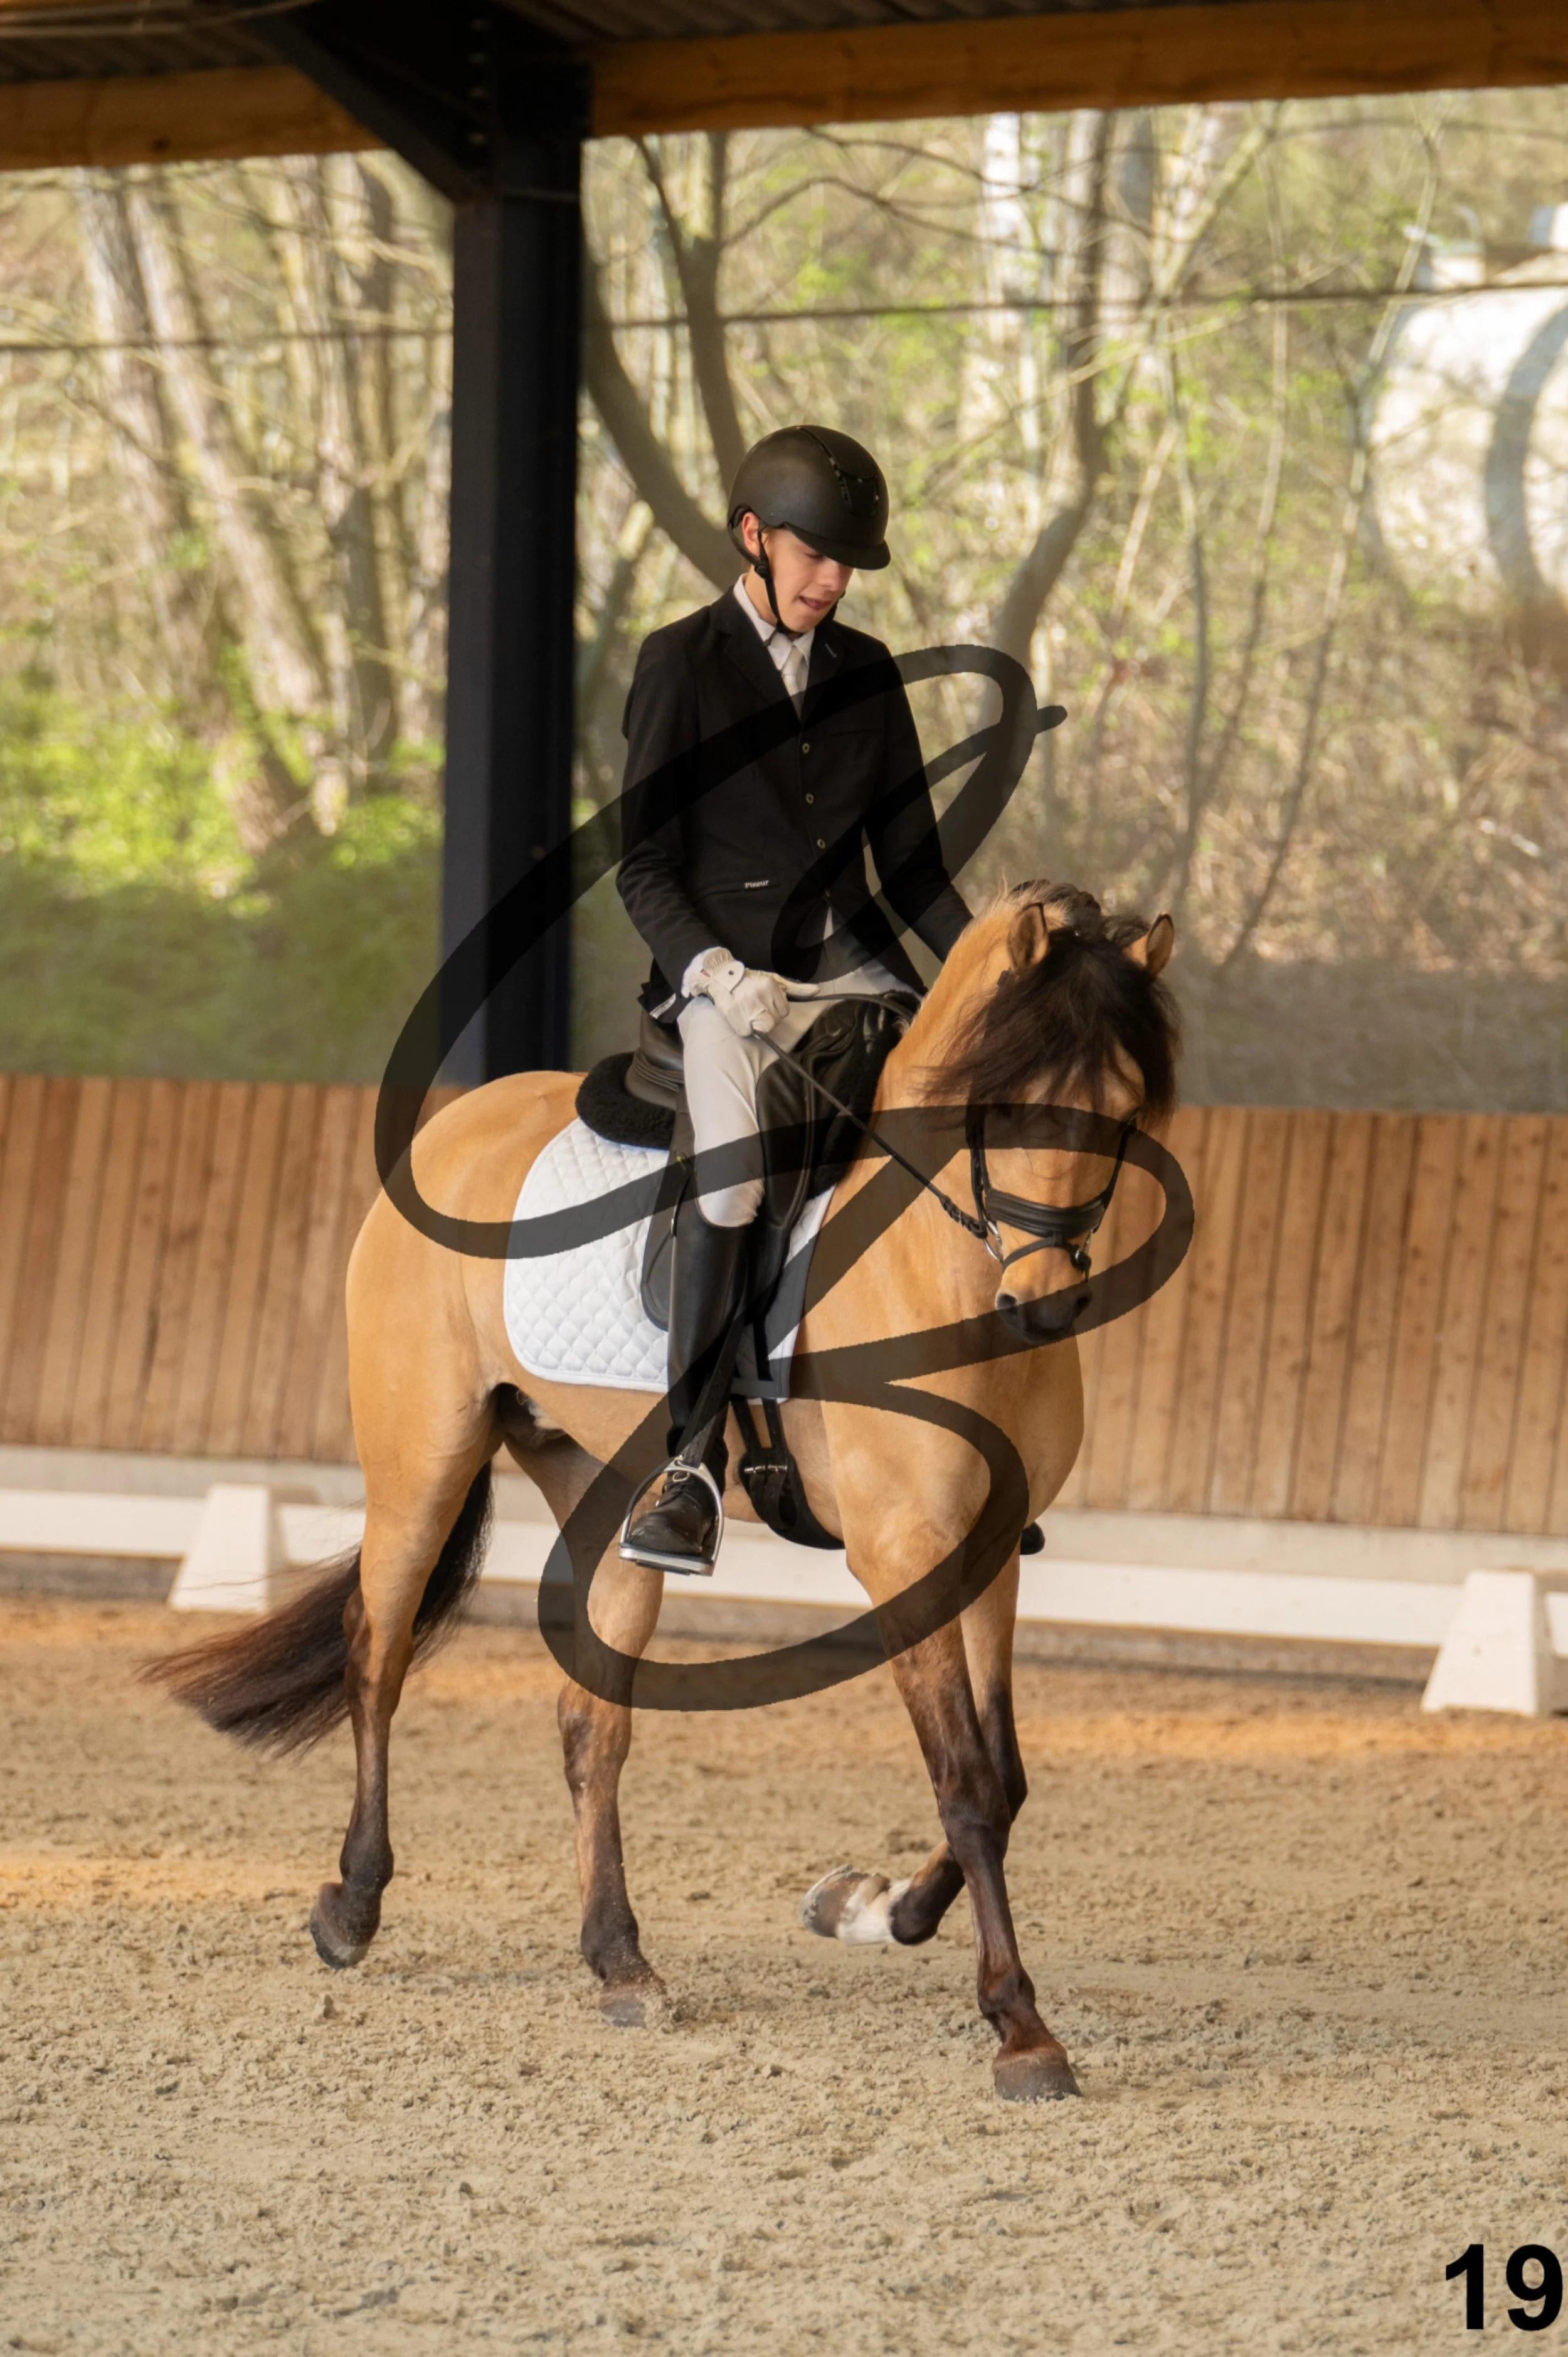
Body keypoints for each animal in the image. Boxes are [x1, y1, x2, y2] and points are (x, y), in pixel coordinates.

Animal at [150, 881, 1179, 2105]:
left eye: (1126, 1111)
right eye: (1010, 1103)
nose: (1043, 1305)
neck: (941, 1273)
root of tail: (455, 1124)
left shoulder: (983, 1546)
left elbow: (1006, 1774)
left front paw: (873, 1907)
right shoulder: (906, 1544)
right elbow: (968, 1778)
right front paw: (1021, 2028)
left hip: (607, 1498)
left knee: (590, 1719)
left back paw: (620, 1962)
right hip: (419, 1463)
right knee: (376, 1654)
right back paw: (352, 1906)